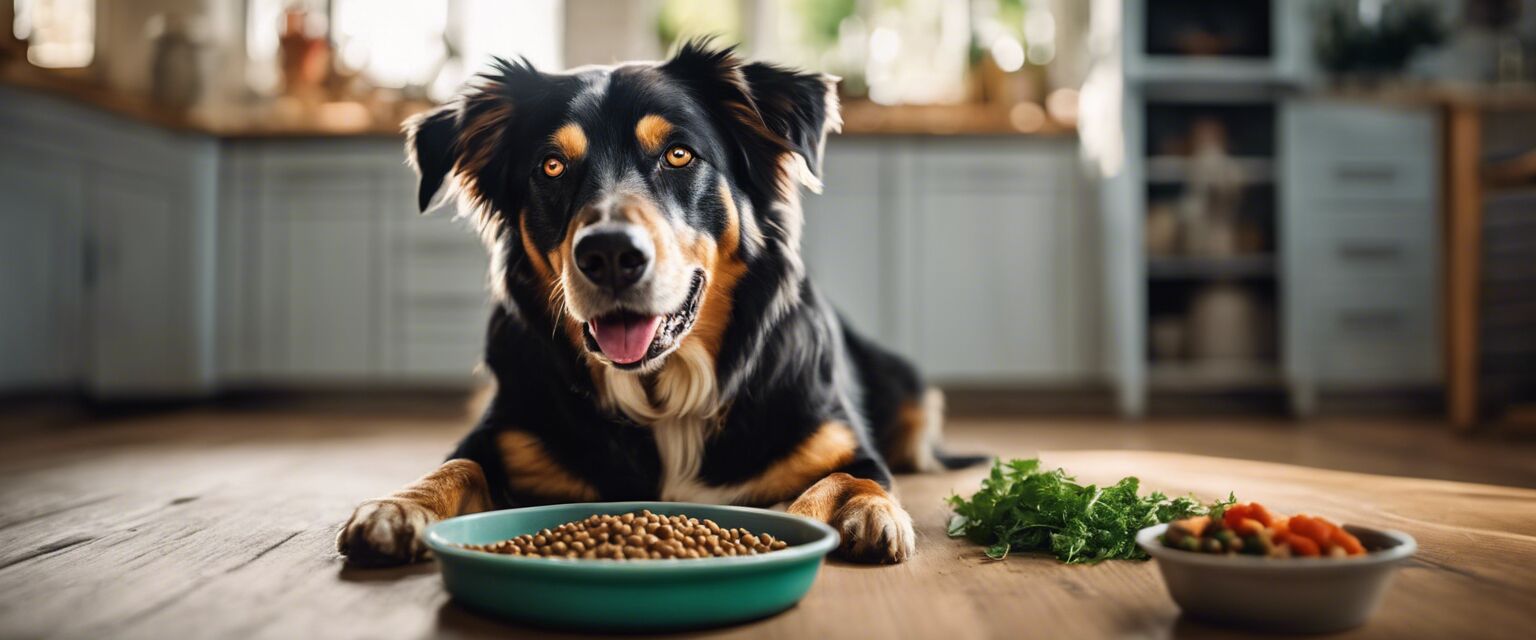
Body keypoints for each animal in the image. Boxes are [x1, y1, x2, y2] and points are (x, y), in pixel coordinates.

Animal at [337, 41, 983, 564]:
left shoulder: (846, 442)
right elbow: (456, 464)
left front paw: (866, 513)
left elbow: (852, 478)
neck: (665, 393)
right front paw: (398, 506)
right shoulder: (498, 434)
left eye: (678, 154)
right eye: (552, 166)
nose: (609, 255)